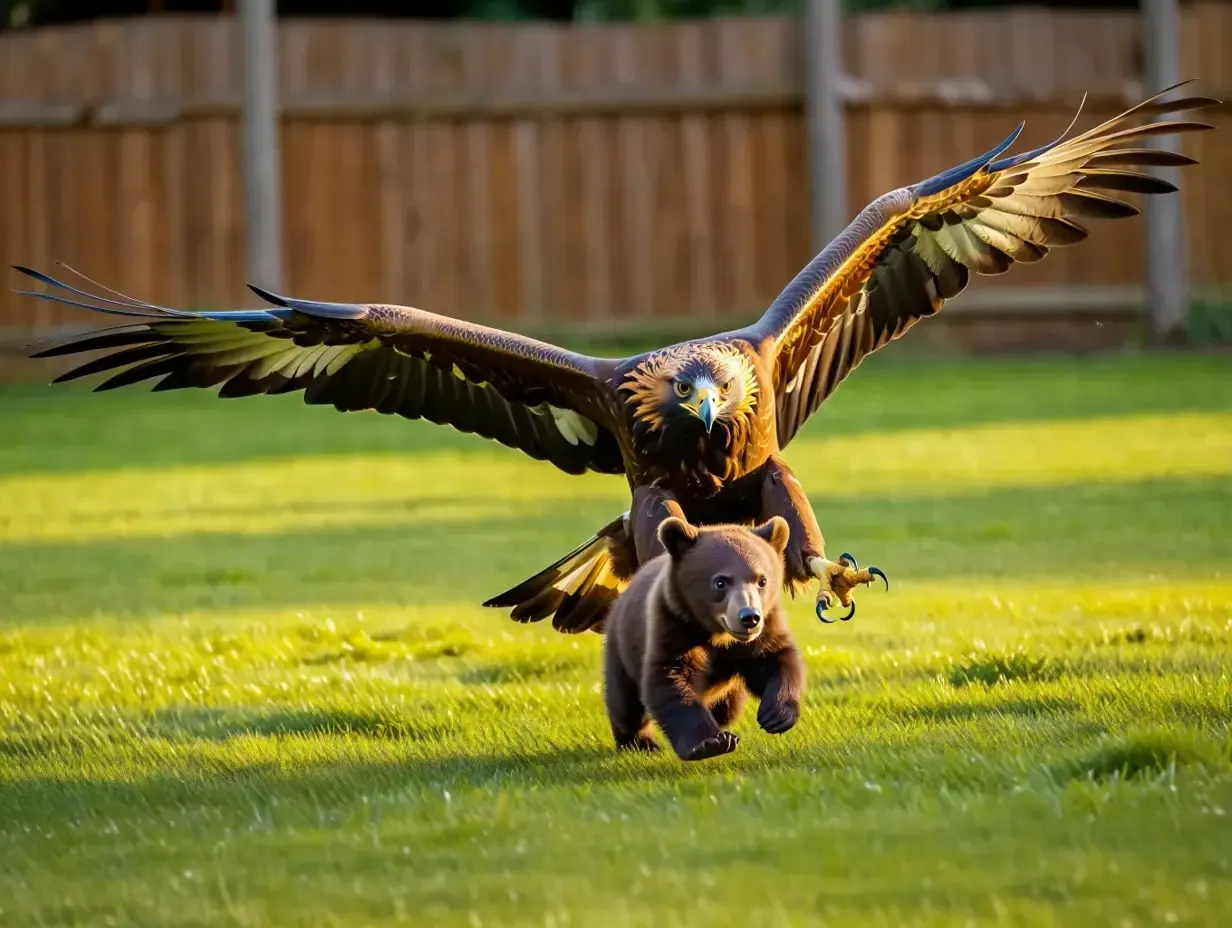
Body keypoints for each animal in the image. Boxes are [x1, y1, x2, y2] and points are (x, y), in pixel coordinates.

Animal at [602, 514, 806, 761]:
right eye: (720, 582)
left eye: (762, 580)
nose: (749, 617)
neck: (717, 635)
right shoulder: (674, 624)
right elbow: (668, 679)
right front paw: (711, 742)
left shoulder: (762, 633)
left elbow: (777, 657)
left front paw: (776, 714)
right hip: (621, 647)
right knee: (625, 704)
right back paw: (640, 742)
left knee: (729, 707)